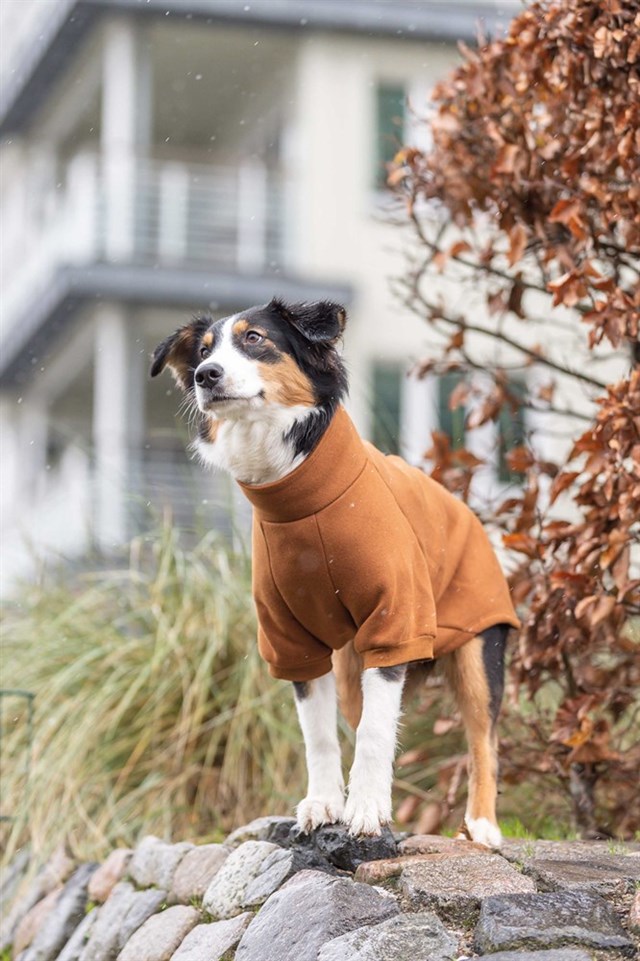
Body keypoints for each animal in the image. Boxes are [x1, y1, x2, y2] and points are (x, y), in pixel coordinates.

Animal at [151, 296, 520, 844]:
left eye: (255, 338)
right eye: (202, 351)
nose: (205, 375)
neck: (302, 498)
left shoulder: (396, 623)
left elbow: (375, 733)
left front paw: (366, 810)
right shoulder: (293, 641)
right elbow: (321, 736)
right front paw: (325, 803)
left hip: (478, 648)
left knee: (483, 740)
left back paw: (482, 826)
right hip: (350, 669)